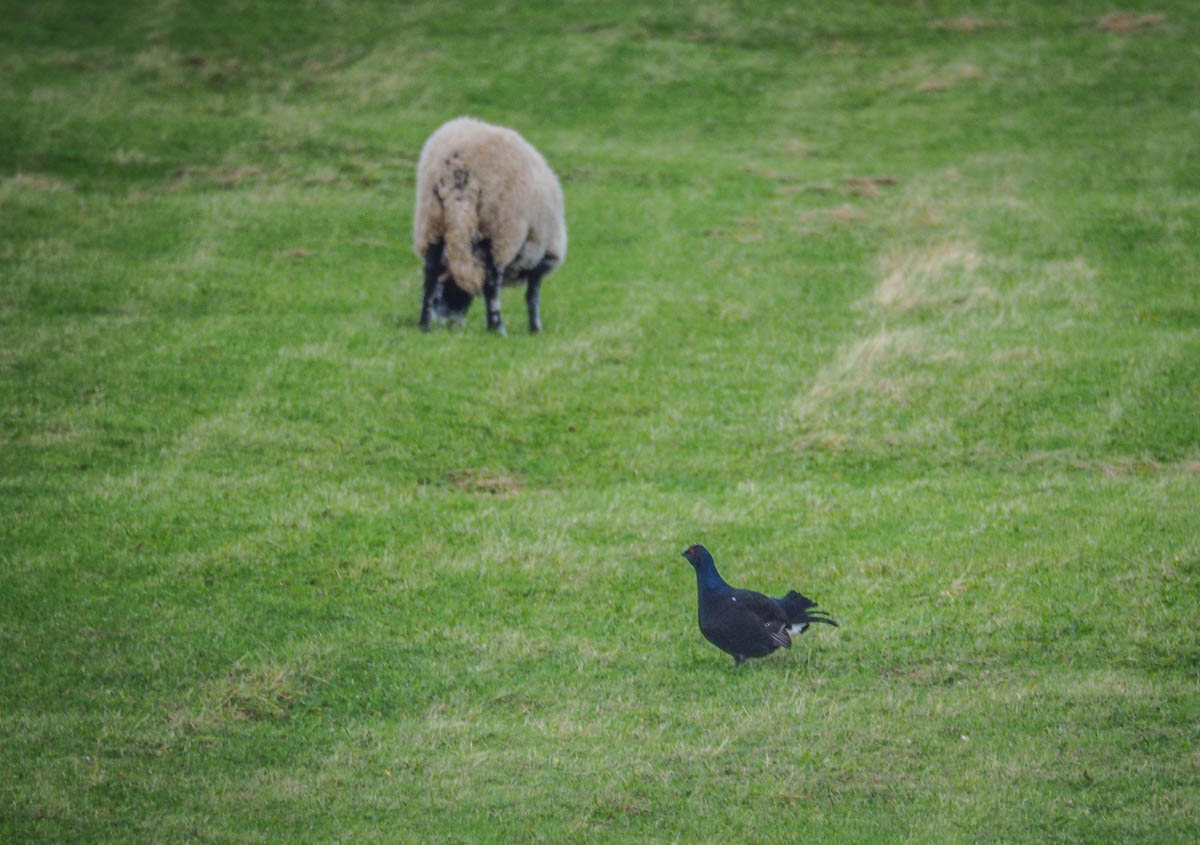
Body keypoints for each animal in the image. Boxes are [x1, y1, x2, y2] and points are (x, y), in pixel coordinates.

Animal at [412, 117, 566, 336]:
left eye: (448, 291)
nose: (447, 321)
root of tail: (458, 167)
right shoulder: (542, 258)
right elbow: (532, 296)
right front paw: (535, 329)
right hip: (498, 229)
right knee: (491, 282)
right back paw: (498, 328)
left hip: (432, 220)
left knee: (430, 273)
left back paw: (424, 324)